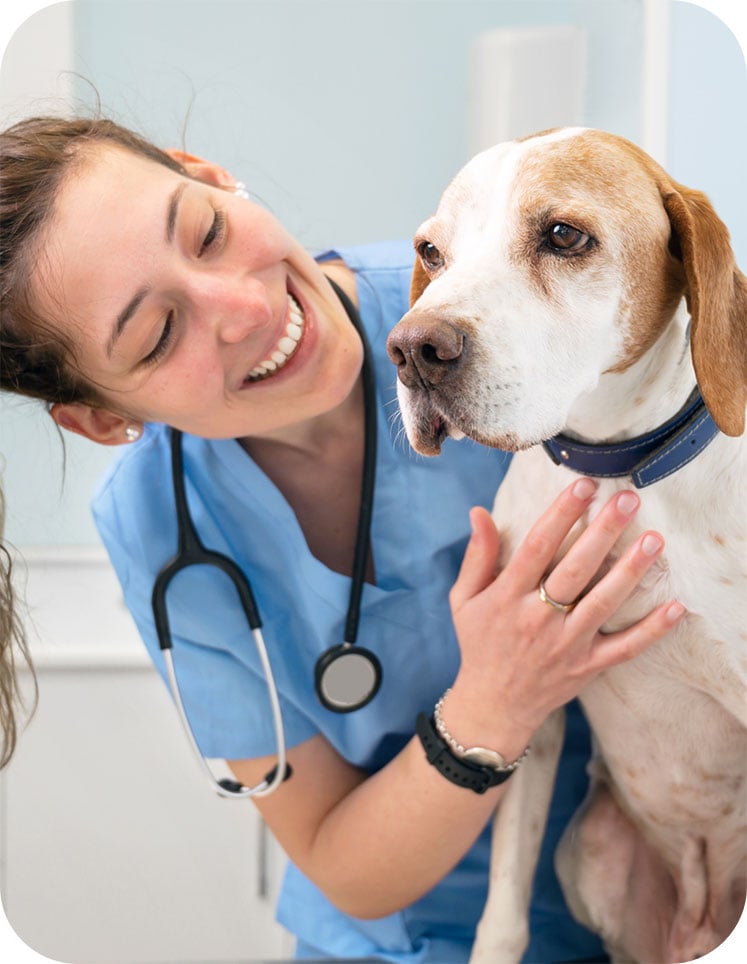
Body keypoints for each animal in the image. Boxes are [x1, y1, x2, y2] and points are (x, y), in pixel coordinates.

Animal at [386, 130, 747, 964]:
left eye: (562, 235)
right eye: (431, 251)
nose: (412, 348)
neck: (616, 472)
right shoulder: (530, 709)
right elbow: (503, 910)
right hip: (587, 852)